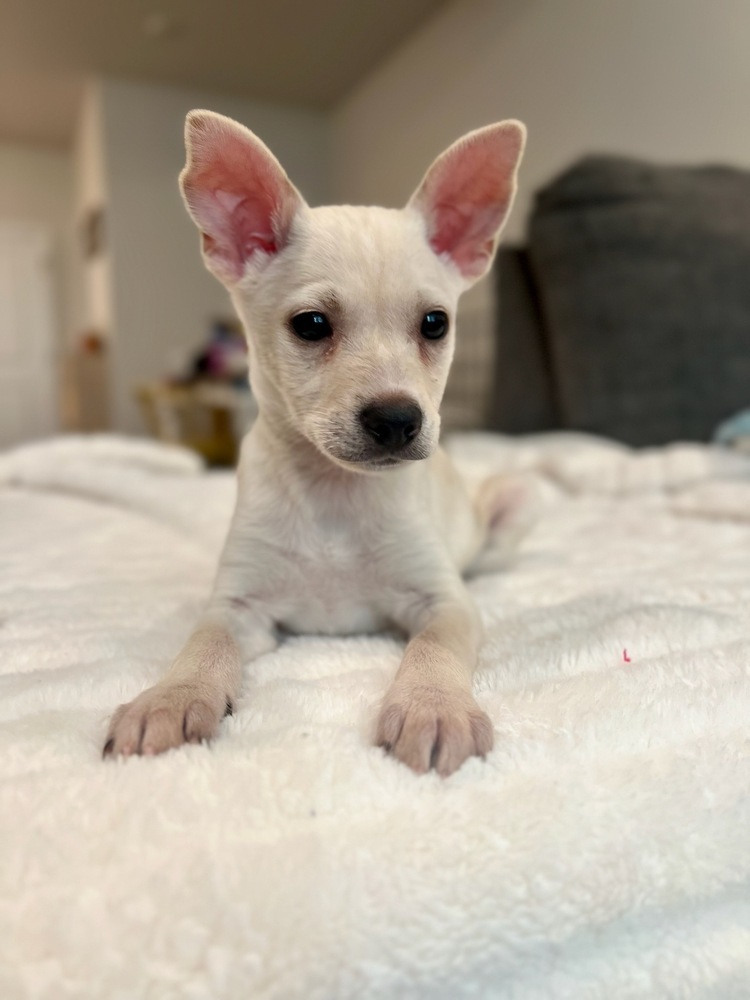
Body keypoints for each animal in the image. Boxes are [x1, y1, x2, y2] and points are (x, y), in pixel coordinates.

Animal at [104, 113, 528, 776]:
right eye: (311, 325)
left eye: (435, 324)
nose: (398, 420)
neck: (335, 494)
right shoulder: (237, 606)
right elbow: (203, 644)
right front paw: (172, 697)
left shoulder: (444, 603)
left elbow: (434, 647)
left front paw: (434, 705)